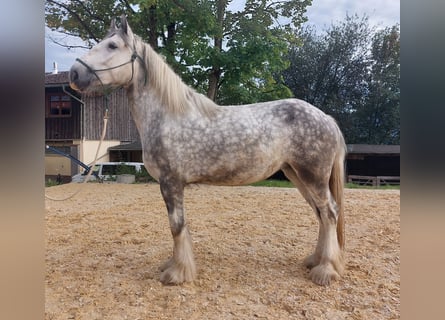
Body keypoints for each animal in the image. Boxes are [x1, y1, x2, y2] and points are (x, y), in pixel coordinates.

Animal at [69, 15, 346, 286]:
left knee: (329, 213)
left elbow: (176, 226)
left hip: (313, 177)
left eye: (112, 46)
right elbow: (178, 227)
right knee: (321, 214)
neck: (168, 116)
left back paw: (326, 271)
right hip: (296, 175)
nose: (74, 73)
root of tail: (325, 118)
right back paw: (315, 261)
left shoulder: (171, 183)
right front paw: (174, 266)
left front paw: (177, 274)